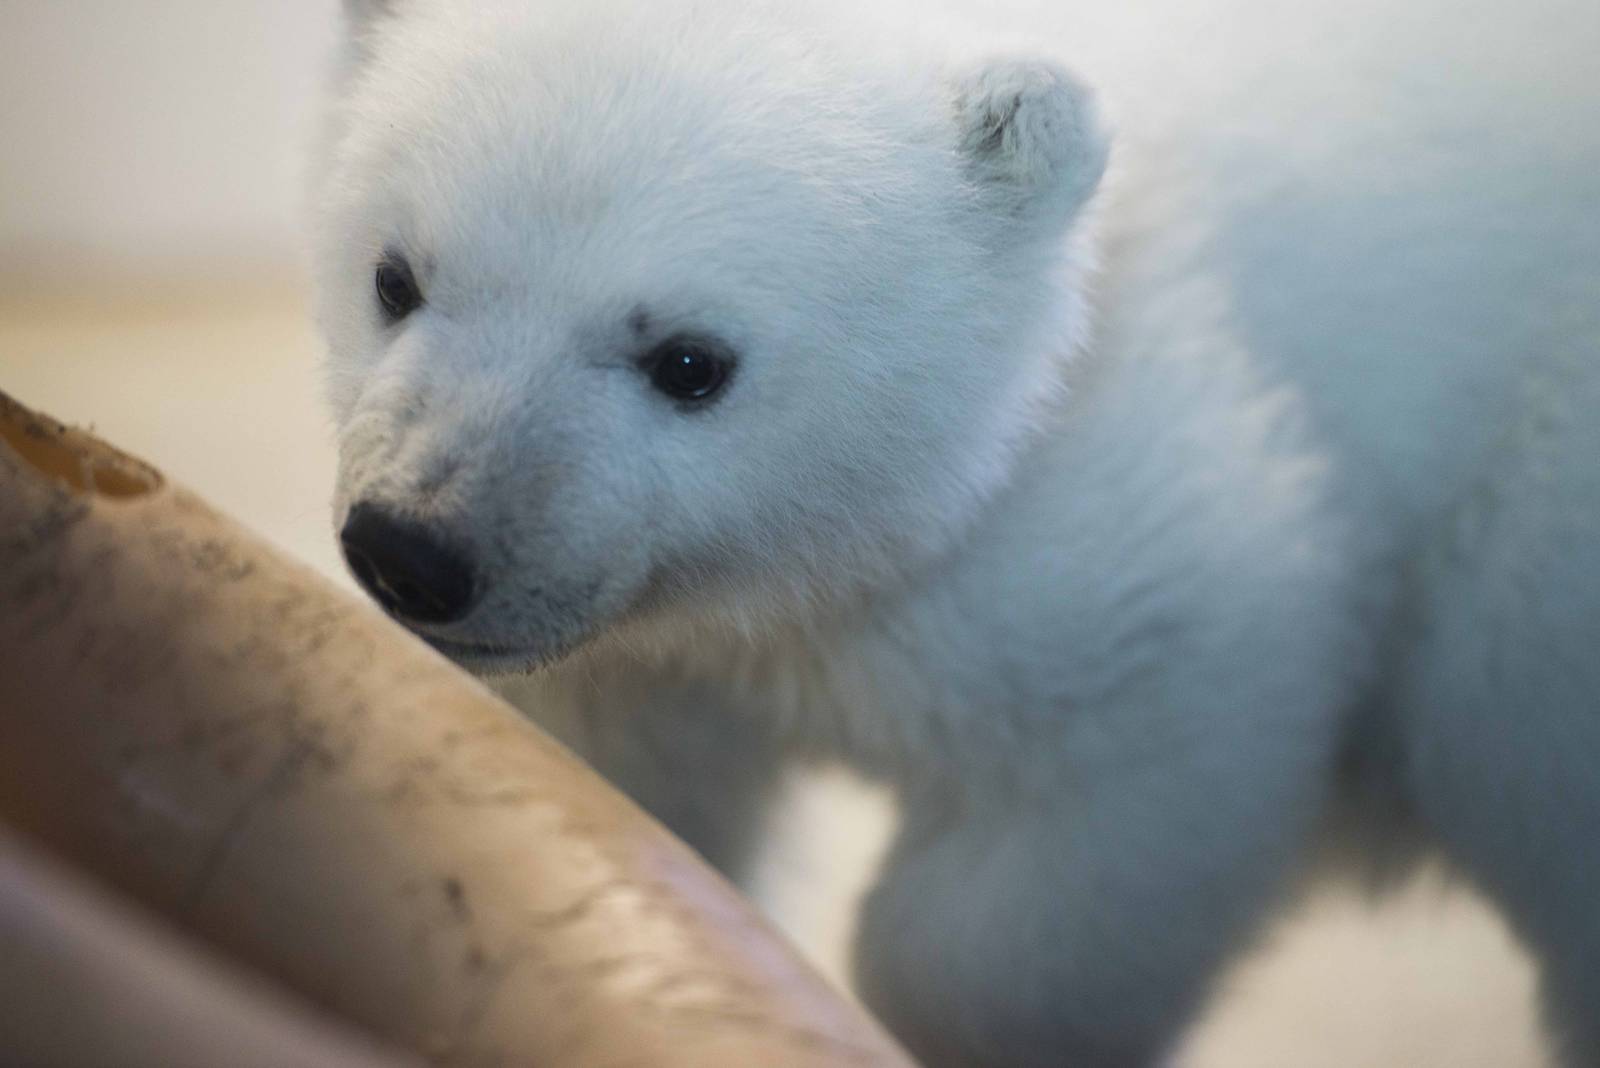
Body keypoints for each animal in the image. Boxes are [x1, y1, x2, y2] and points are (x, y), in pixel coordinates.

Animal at [310, 0, 1600, 1064]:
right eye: (394, 278)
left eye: (688, 360)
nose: (414, 551)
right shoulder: (648, 664)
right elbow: (626, 793)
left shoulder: (1119, 524)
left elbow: (1127, 754)